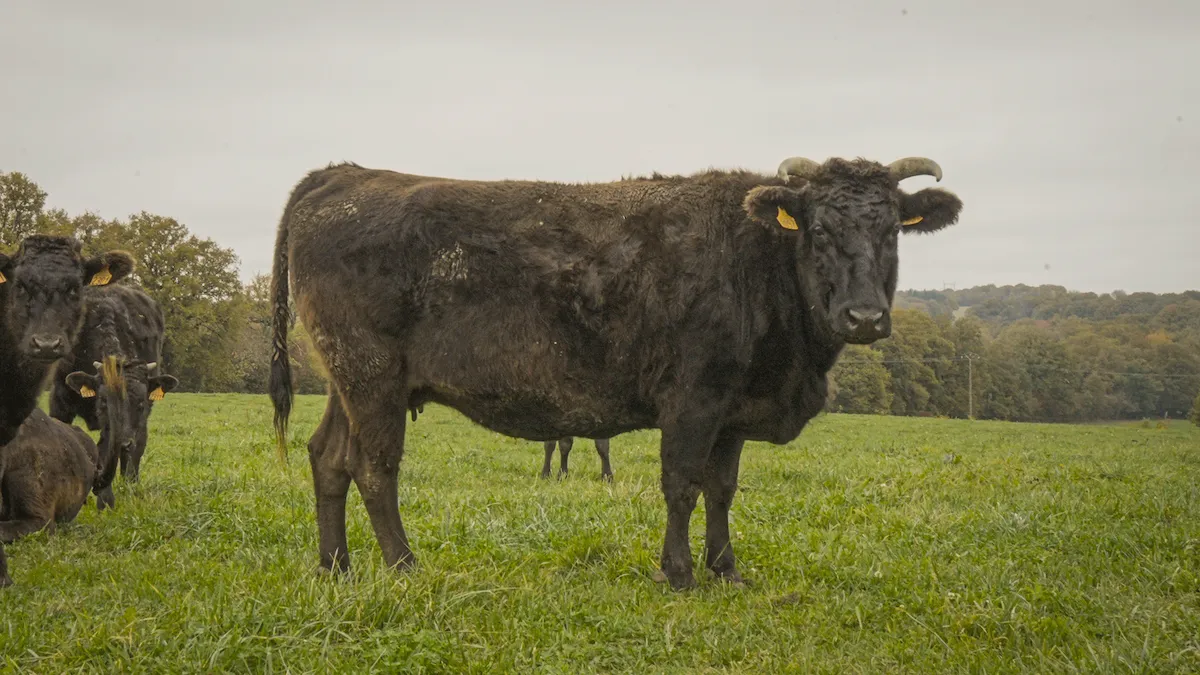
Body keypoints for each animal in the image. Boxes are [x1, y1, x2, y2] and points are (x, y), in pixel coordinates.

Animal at [267, 155, 963, 590]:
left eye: (892, 231)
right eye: (817, 229)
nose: (864, 316)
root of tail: (345, 175)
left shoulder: (733, 410)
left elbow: (723, 489)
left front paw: (727, 570)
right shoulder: (693, 398)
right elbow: (681, 485)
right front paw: (679, 574)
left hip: (347, 380)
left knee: (328, 457)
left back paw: (336, 568)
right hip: (372, 376)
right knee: (374, 468)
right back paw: (404, 567)